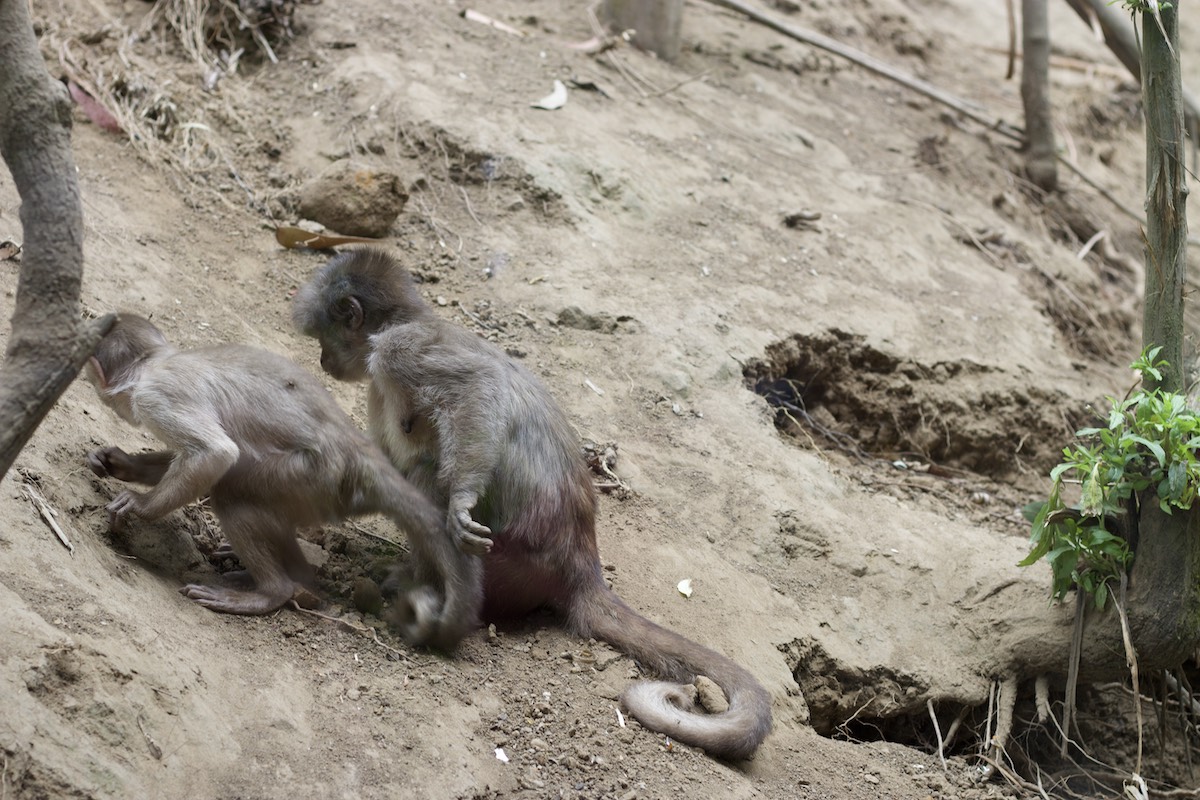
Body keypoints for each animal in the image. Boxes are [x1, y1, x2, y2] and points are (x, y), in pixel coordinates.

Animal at [83, 313, 483, 651]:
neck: (157, 362)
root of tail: (358, 448)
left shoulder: (154, 394)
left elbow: (215, 454)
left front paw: (139, 505)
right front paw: (121, 464)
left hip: (317, 480)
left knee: (231, 492)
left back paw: (272, 592)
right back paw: (290, 580)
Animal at [293, 249, 772, 761]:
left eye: (324, 338)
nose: (322, 359)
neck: (409, 320)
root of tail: (581, 563)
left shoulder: (400, 350)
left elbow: (478, 388)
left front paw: (460, 504)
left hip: (513, 566)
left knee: (428, 472)